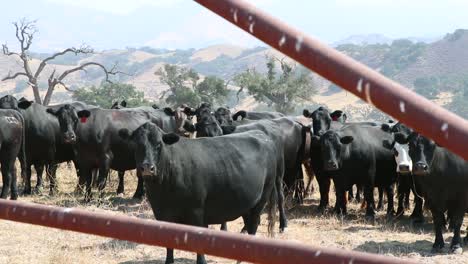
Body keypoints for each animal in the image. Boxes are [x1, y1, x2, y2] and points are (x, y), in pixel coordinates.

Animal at [120, 124, 280, 264]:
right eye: (136, 145)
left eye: (159, 144)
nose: (147, 167)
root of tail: (261, 135)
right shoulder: (162, 214)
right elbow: (169, 245)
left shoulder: (196, 212)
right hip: (247, 203)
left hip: (262, 198)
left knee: (253, 225)